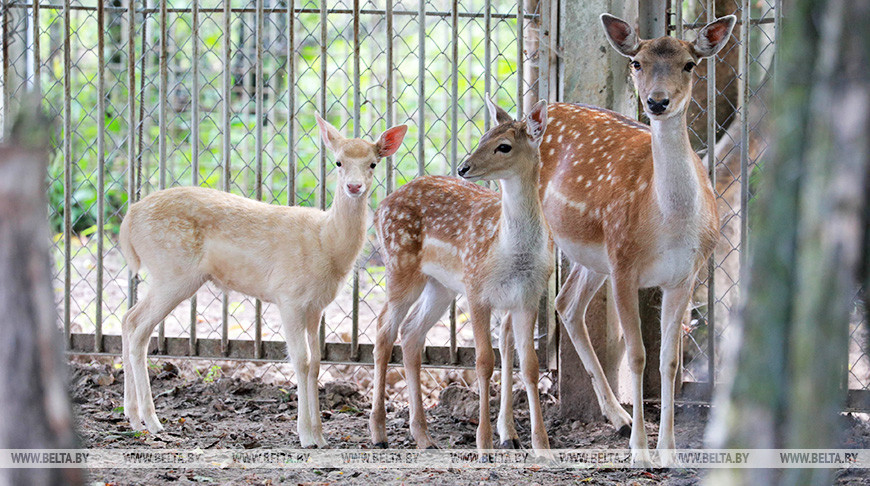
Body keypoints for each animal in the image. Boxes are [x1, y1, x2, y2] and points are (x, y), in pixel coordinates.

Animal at [116, 114, 412, 448]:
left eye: (373, 163)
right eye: (338, 161)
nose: (354, 185)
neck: (326, 243)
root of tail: (128, 222)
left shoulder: (316, 307)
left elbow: (317, 363)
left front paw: (321, 437)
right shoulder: (289, 297)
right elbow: (301, 360)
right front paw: (306, 436)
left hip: (168, 274)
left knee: (128, 319)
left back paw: (132, 416)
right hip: (172, 271)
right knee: (138, 326)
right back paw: (152, 421)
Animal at [368, 99, 552, 456]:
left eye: (503, 145)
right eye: (482, 137)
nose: (464, 167)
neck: (511, 251)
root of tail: (379, 207)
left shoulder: (528, 296)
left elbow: (530, 365)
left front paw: (543, 447)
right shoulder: (476, 288)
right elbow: (483, 362)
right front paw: (484, 445)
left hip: (440, 285)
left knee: (411, 333)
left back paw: (424, 437)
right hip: (400, 266)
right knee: (384, 331)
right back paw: (380, 434)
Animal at [540, 13, 740, 466]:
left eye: (689, 64)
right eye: (636, 63)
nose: (657, 102)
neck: (669, 222)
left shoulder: (684, 275)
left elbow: (668, 362)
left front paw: (669, 451)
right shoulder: (625, 266)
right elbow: (636, 355)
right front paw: (641, 452)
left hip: (594, 256)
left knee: (566, 303)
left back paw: (617, 416)